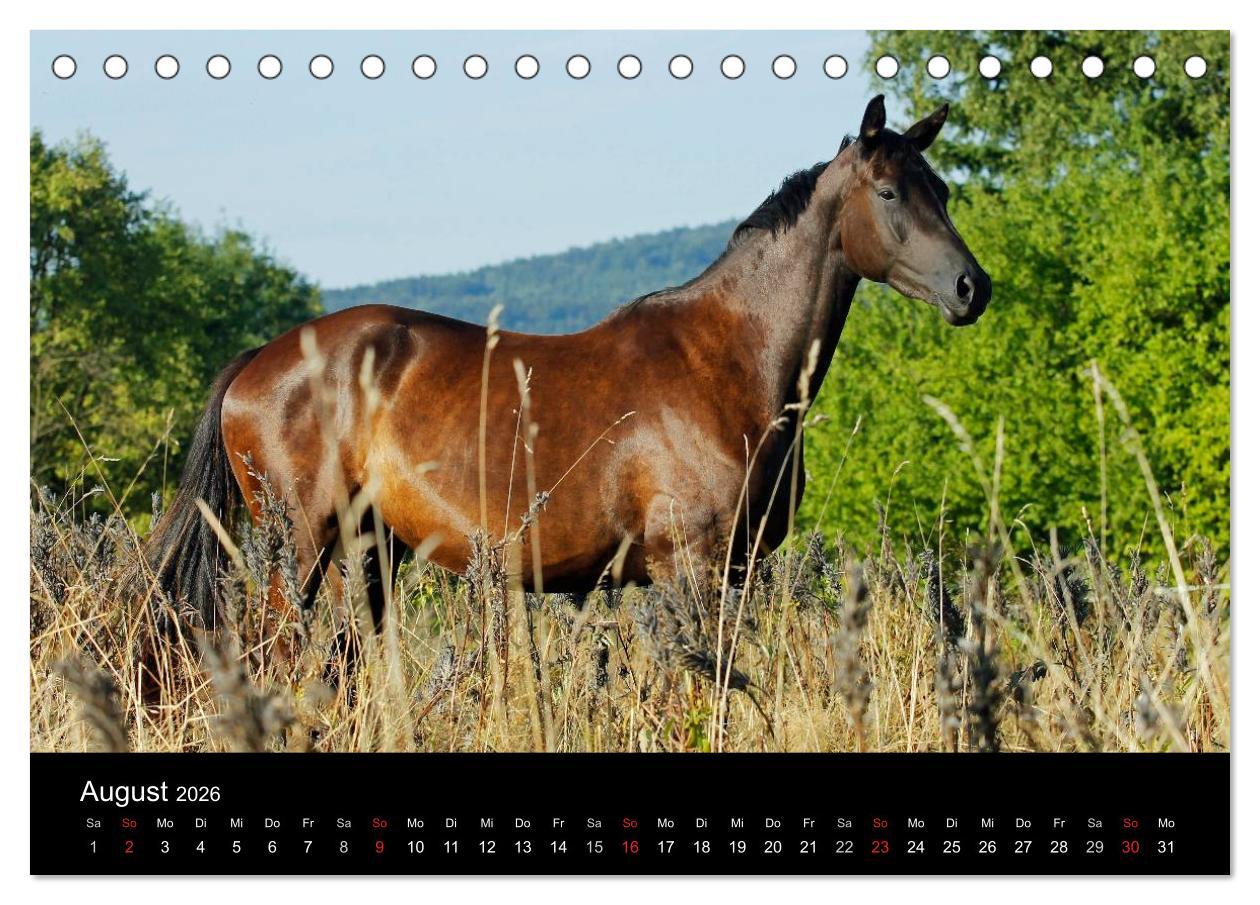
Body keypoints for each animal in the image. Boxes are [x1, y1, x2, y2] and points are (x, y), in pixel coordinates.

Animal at [144, 95, 991, 669]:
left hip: (371, 550)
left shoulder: (734, 571)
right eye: (890, 192)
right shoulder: (693, 569)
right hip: (299, 548)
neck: (727, 360)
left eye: (944, 191)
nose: (971, 288)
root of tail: (260, 360)